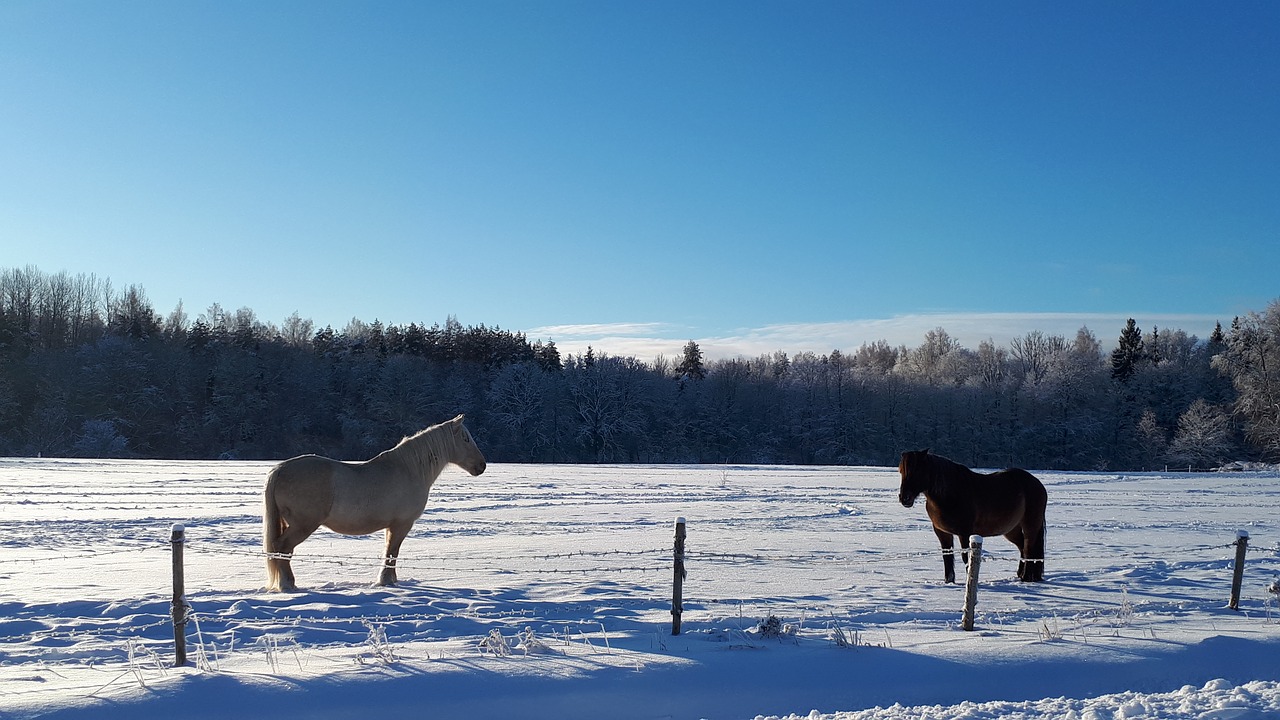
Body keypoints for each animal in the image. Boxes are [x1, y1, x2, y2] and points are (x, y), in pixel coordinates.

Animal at [259, 415, 483, 589]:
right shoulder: (402, 524)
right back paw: (288, 585)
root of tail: (280, 469)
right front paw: (387, 581)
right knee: (282, 548)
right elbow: (392, 552)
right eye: (465, 438)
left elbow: (389, 552)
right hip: (303, 525)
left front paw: (389, 581)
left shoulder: (391, 526)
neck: (409, 470)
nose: (482, 466)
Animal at [896, 448, 1044, 584]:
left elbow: (966, 557)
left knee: (1029, 549)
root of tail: (1037, 483)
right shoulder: (942, 532)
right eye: (901, 471)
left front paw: (969, 580)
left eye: (917, 470)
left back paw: (1026, 578)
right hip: (1011, 530)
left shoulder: (965, 533)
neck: (950, 494)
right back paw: (1021, 575)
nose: (905, 498)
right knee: (1022, 547)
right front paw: (949, 581)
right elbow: (947, 556)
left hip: (1030, 526)